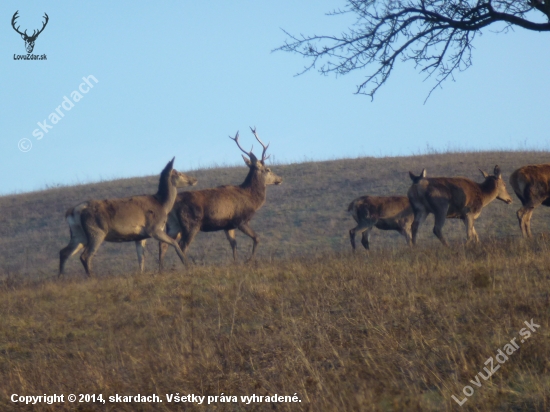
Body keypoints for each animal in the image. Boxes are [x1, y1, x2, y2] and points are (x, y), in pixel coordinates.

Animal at [59, 159, 198, 276]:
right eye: (179, 173)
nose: (194, 179)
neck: (162, 205)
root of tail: (73, 211)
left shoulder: (140, 236)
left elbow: (141, 258)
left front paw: (141, 274)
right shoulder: (153, 229)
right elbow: (174, 242)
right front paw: (187, 265)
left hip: (78, 233)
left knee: (64, 252)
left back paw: (61, 278)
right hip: (96, 231)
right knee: (85, 255)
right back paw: (92, 278)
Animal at [157, 128, 282, 268]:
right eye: (268, 169)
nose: (280, 179)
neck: (252, 199)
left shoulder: (228, 225)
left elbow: (234, 244)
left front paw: (236, 263)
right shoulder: (241, 220)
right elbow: (257, 238)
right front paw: (248, 261)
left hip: (173, 225)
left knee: (164, 244)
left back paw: (161, 269)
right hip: (191, 223)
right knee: (182, 245)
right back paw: (187, 267)